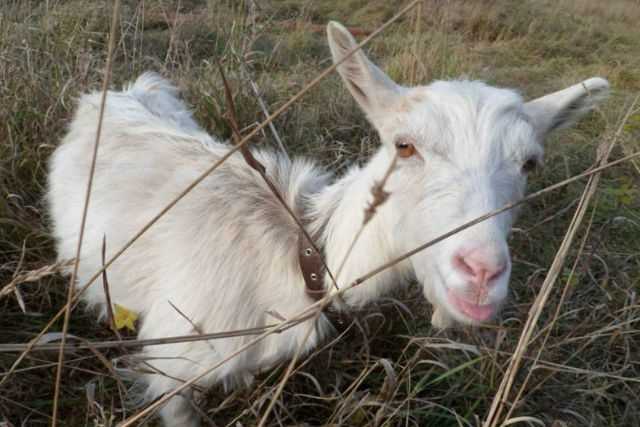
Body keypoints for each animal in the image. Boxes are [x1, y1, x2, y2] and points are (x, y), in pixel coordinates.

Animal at [46, 22, 608, 427]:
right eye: (404, 145)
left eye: (530, 164)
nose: (481, 274)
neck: (305, 251)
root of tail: (119, 93)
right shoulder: (172, 371)